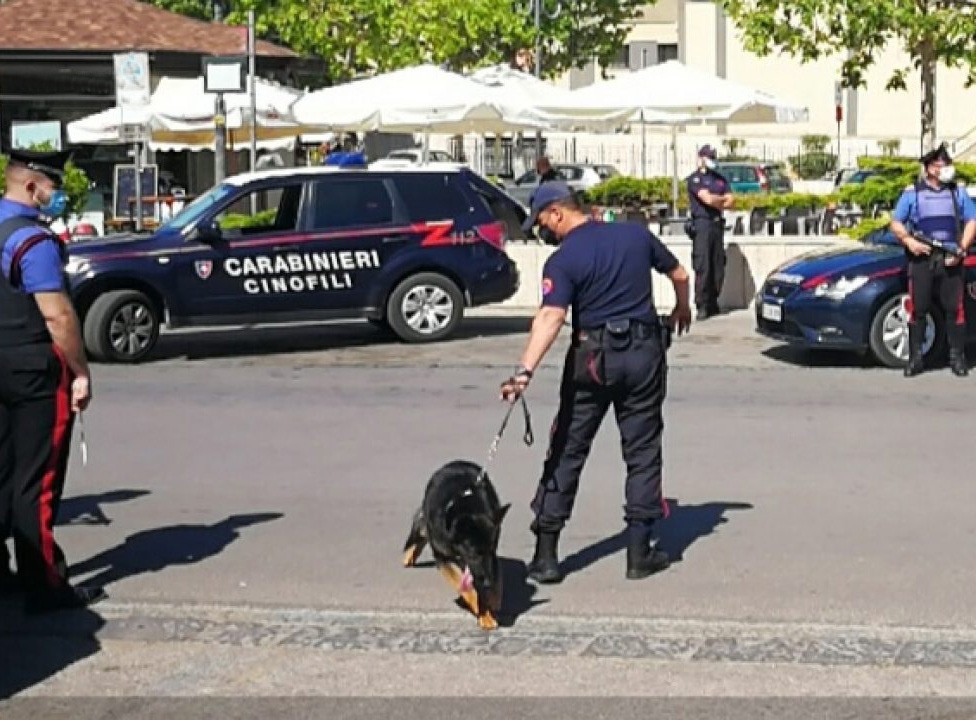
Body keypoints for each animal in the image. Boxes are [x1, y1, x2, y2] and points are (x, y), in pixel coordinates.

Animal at [402, 462, 510, 632]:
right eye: (475, 553)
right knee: (421, 527)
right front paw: (481, 610)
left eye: (490, 550)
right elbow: (467, 588)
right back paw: (409, 555)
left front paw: (490, 602)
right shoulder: (443, 558)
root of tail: (455, 463)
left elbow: (492, 579)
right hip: (427, 525)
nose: (488, 583)